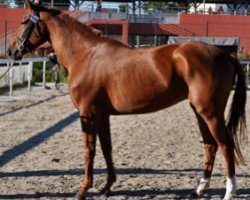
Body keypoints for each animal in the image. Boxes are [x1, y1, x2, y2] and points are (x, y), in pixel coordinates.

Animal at [7, 0, 246, 199]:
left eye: (23, 21)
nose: (10, 50)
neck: (86, 55)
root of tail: (224, 54)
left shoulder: (87, 114)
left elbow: (89, 151)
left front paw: (84, 189)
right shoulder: (102, 115)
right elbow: (107, 148)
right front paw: (107, 187)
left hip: (211, 112)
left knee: (225, 145)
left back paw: (229, 192)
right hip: (199, 111)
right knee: (210, 145)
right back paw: (199, 189)